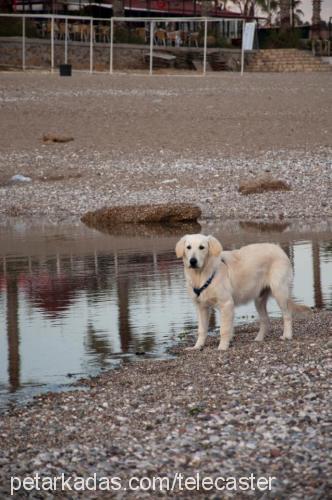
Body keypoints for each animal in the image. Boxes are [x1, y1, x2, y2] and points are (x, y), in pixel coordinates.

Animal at [175, 234, 308, 352]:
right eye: (188, 247)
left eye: (202, 247)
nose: (193, 261)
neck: (201, 275)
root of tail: (279, 249)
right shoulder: (202, 307)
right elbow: (202, 330)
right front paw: (197, 346)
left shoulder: (226, 304)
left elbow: (224, 329)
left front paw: (222, 347)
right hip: (259, 300)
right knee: (265, 320)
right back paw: (259, 339)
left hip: (279, 292)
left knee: (287, 315)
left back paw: (287, 335)